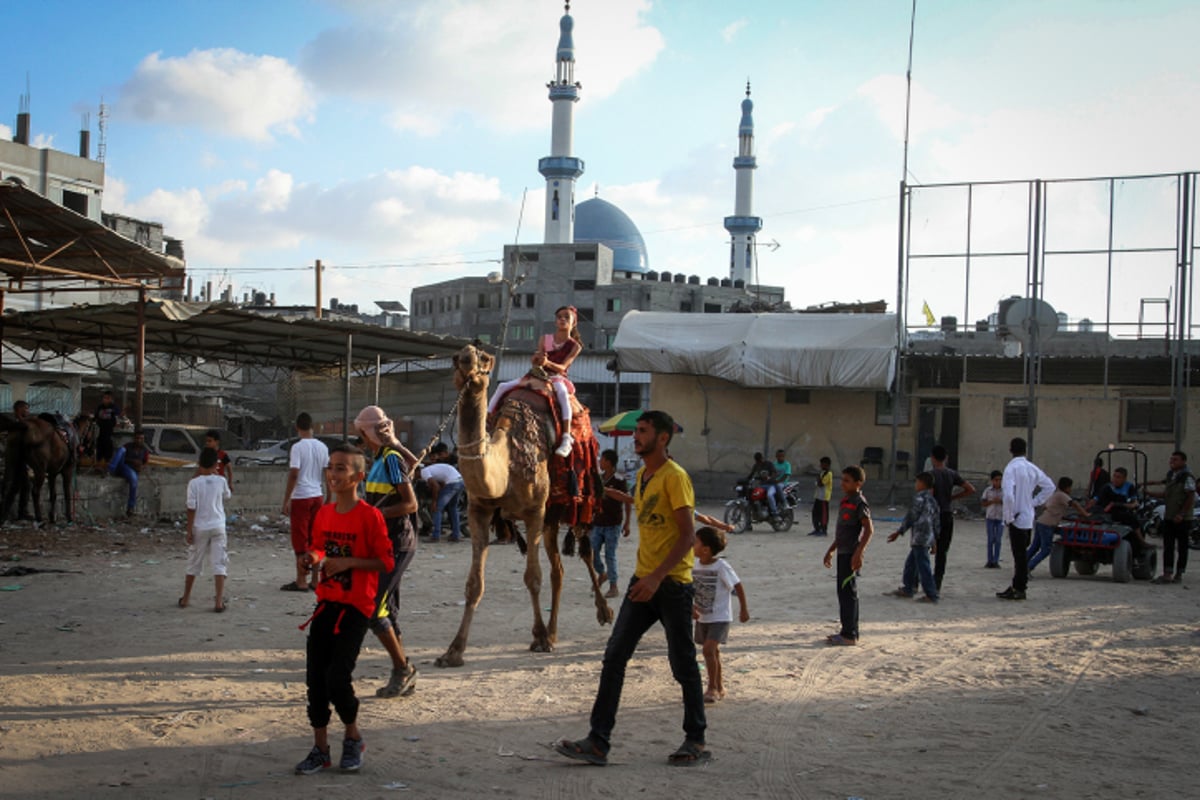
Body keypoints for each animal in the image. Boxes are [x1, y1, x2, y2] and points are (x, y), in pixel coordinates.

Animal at [436, 345, 609, 671]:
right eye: (456, 356)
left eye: (484, 358)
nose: (466, 362)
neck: (506, 462)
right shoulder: (479, 511)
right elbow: (474, 584)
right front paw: (453, 652)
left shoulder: (534, 512)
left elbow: (533, 578)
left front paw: (539, 637)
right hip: (552, 514)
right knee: (559, 569)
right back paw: (554, 633)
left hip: (577, 499)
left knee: (585, 551)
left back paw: (603, 612)